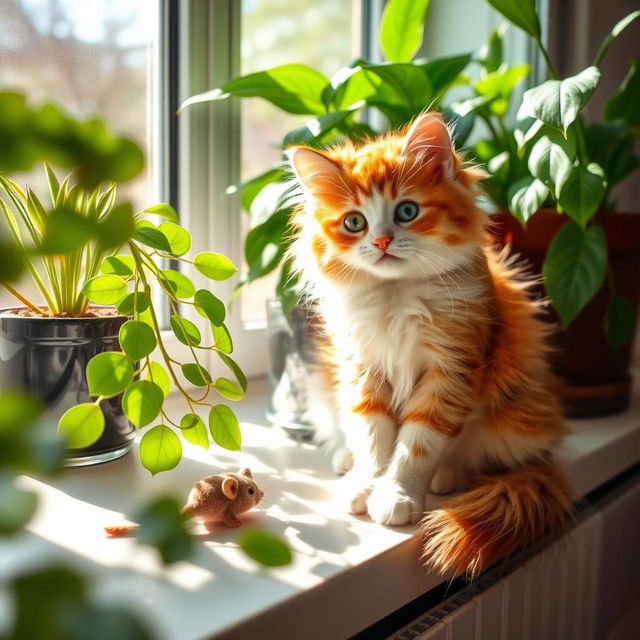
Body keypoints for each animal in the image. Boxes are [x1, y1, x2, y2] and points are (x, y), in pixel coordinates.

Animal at [288, 112, 572, 576]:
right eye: (354, 223)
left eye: (407, 211)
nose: (382, 241)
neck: (396, 294)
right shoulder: (362, 367)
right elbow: (373, 436)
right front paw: (366, 484)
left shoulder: (453, 367)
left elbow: (417, 443)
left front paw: (396, 496)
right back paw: (347, 461)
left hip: (516, 416)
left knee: (478, 454)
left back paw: (447, 476)